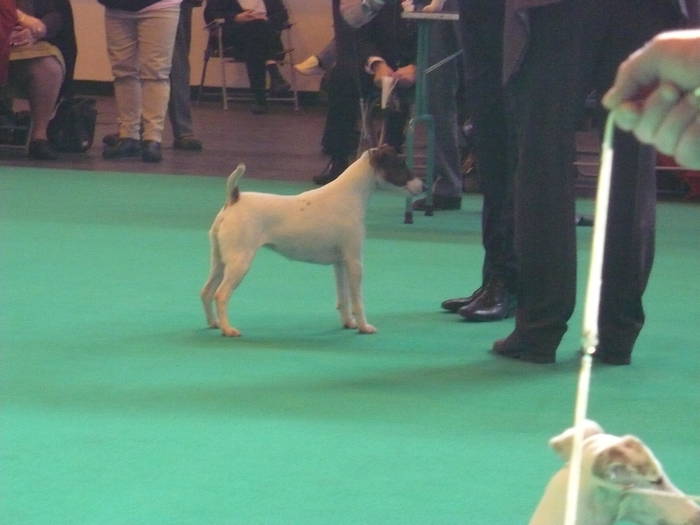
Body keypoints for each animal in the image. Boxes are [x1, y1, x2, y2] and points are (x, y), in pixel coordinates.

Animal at [200, 145, 424, 338]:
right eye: (400, 164)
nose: (423, 186)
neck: (350, 194)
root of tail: (234, 198)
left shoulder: (340, 263)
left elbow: (343, 298)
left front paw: (348, 323)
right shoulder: (354, 262)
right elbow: (357, 300)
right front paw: (363, 326)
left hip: (220, 262)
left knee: (206, 292)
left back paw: (214, 323)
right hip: (240, 262)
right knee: (221, 295)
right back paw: (228, 329)